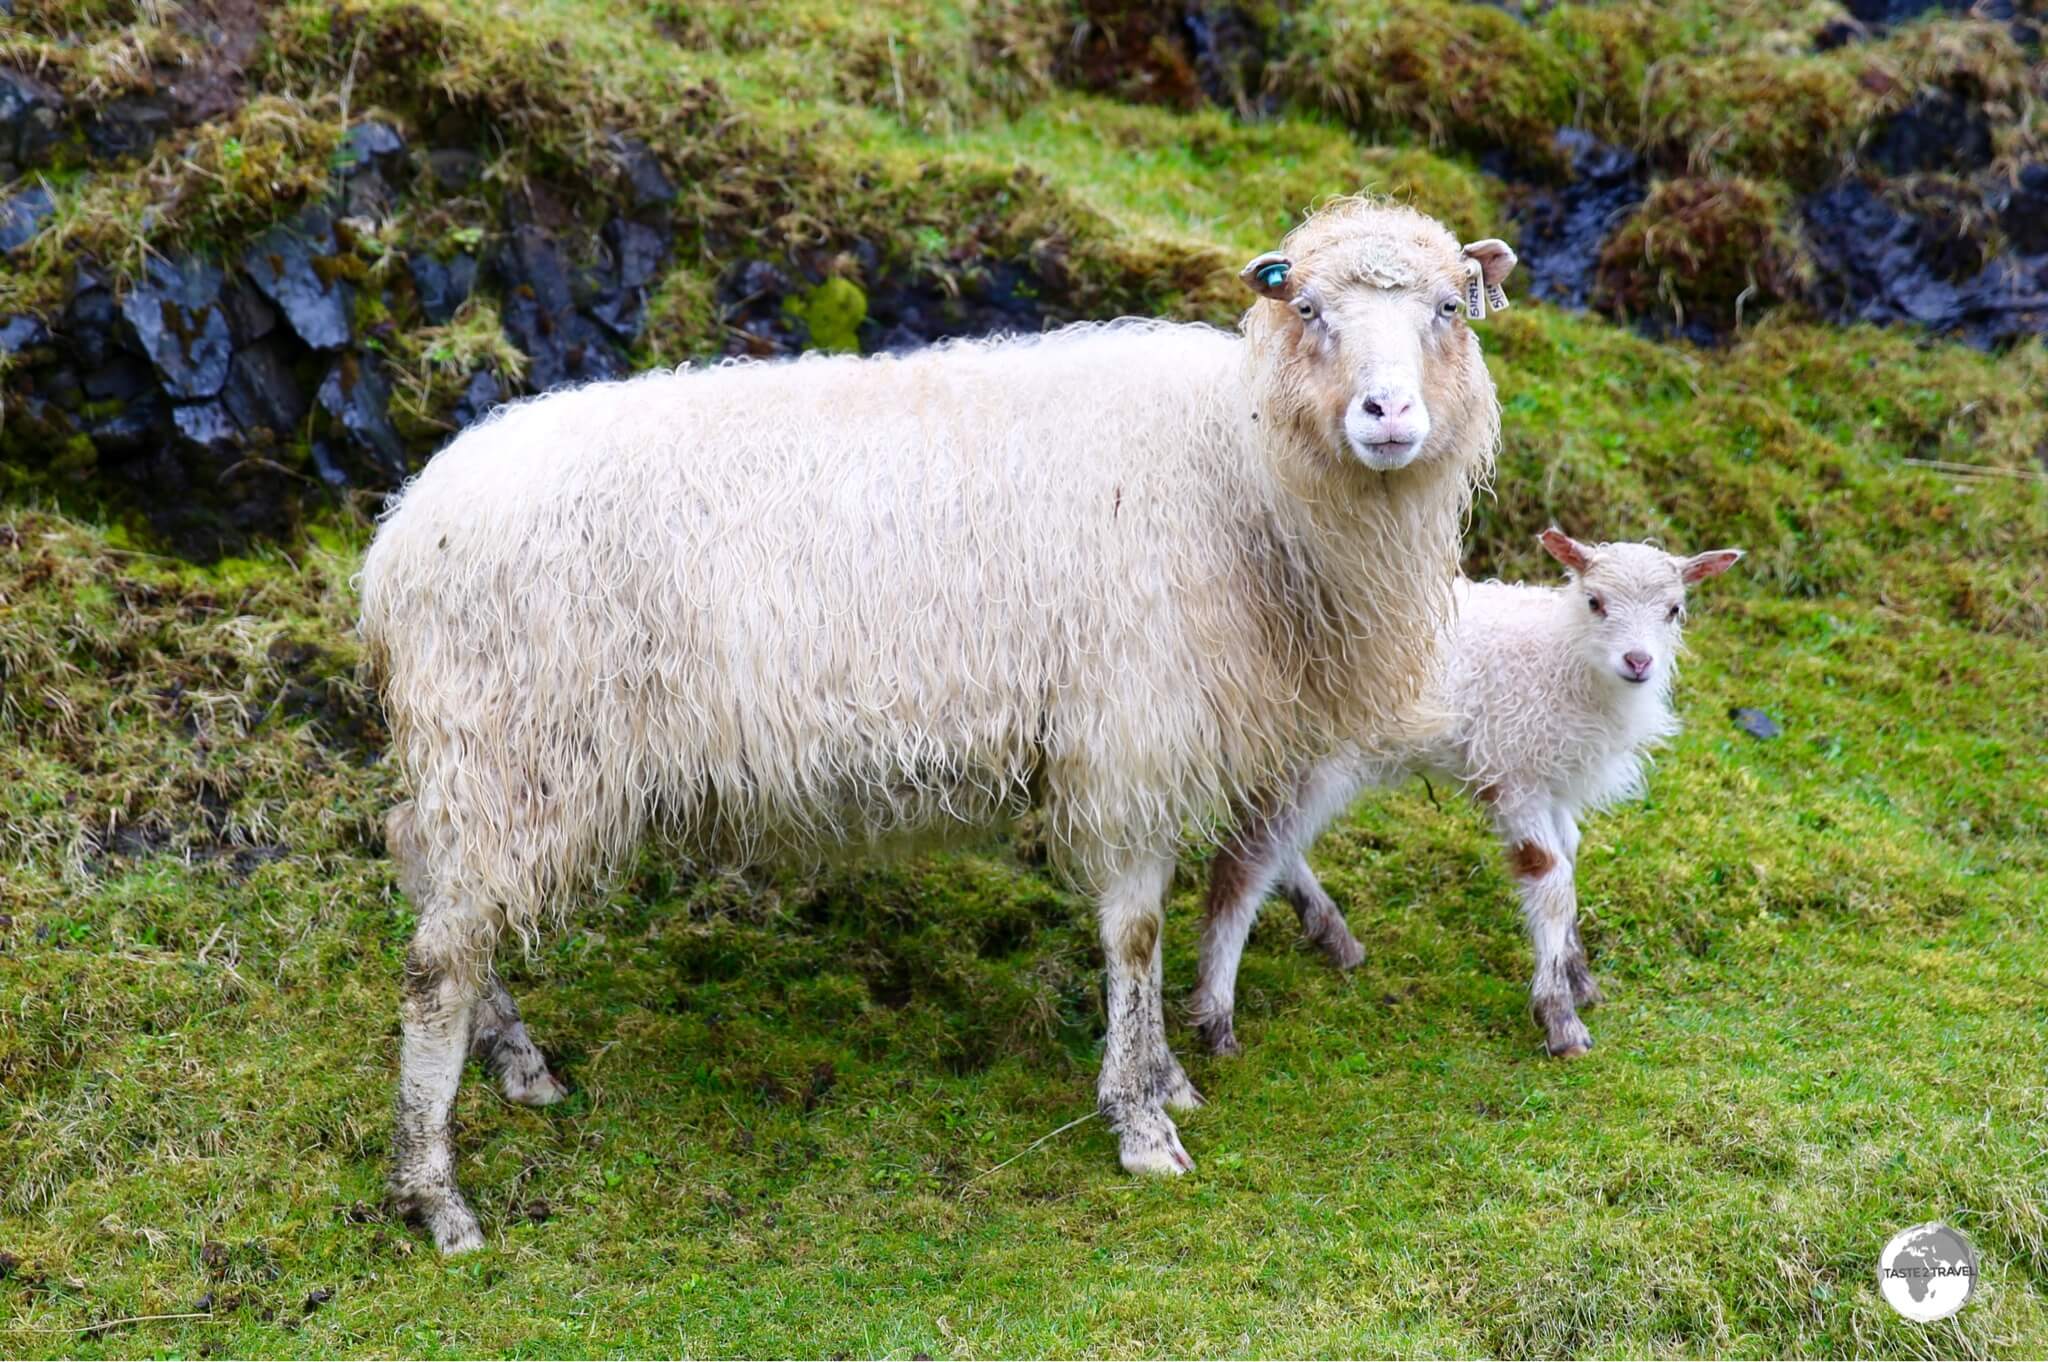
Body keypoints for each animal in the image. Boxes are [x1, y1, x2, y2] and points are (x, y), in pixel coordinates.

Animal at [360, 193, 1523, 1253]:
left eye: (1445, 311)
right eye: (1312, 309)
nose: (1386, 416)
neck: (1241, 468)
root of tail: (401, 537)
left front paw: (1162, 1078)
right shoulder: (1127, 735)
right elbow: (1135, 932)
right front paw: (1140, 1120)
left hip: (483, 760)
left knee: (419, 861)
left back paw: (516, 1065)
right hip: (518, 751)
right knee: (435, 964)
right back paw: (434, 1194)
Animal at [1187, 524, 1744, 1056]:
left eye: (1674, 610)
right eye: (1595, 601)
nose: (1638, 661)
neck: (1562, 658)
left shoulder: (1552, 779)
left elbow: (1569, 859)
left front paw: (1577, 975)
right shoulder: (1513, 773)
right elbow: (1550, 879)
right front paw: (1560, 1020)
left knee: (1272, 847)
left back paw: (1332, 937)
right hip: (1309, 758)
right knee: (1245, 864)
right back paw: (1217, 1019)